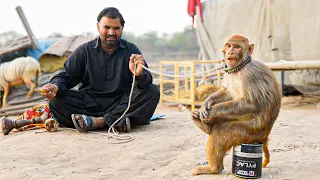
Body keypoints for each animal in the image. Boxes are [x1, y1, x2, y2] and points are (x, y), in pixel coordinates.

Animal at [191, 34, 282, 175]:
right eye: (229, 45)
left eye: (237, 46)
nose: (230, 52)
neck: (241, 68)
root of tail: (265, 136)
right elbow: (226, 92)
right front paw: (207, 102)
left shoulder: (251, 74)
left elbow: (252, 104)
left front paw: (212, 110)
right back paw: (204, 126)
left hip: (250, 132)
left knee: (221, 132)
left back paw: (213, 168)